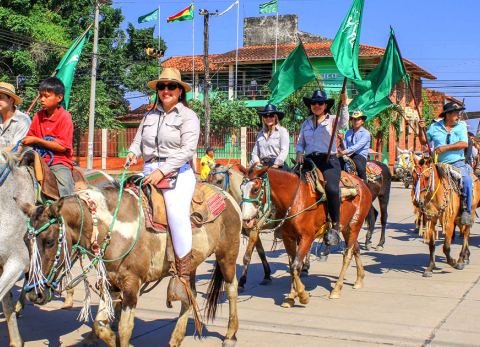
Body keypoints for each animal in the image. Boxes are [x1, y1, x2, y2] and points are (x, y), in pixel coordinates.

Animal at [240, 167, 372, 308]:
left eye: (255, 189)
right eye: (241, 188)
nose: (246, 220)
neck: (296, 199)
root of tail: (362, 184)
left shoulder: (306, 237)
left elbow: (296, 265)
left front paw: (303, 296)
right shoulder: (288, 238)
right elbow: (292, 265)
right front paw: (291, 296)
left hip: (354, 225)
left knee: (347, 255)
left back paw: (336, 289)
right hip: (347, 227)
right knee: (356, 249)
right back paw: (359, 279)